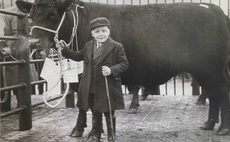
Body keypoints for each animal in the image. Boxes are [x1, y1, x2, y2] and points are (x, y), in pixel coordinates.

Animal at [16, 0, 230, 135]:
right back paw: (209, 124)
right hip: (205, 71)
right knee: (213, 94)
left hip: (211, 69)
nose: (33, 42)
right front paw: (85, 129)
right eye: (31, 15)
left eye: (53, 15)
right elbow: (84, 105)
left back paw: (223, 128)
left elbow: (87, 105)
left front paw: (81, 130)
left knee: (221, 92)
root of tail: (212, 8)